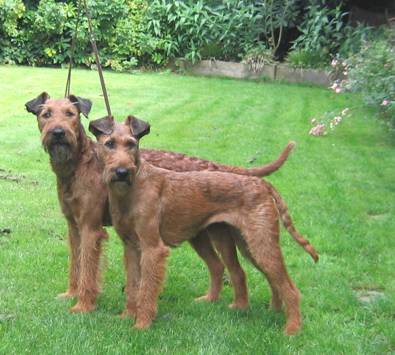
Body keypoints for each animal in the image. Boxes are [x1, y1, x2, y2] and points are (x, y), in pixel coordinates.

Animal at [24, 92, 296, 314]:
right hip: (208, 236)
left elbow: (88, 270)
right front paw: (71, 294)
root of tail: (214, 166)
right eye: (46, 114)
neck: (79, 165)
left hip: (228, 237)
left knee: (244, 271)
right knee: (225, 268)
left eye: (71, 114)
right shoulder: (74, 227)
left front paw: (83, 305)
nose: (58, 133)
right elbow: (75, 265)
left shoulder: (91, 229)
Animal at [89, 115, 318, 336]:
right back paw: (256, 309)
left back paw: (292, 329)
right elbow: (133, 286)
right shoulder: (131, 247)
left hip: (261, 243)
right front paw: (127, 316)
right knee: (255, 276)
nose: (122, 172)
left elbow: (146, 289)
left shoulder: (152, 248)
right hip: (246, 245)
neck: (133, 188)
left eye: (132, 144)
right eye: (109, 143)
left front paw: (141, 325)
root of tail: (262, 184)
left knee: (289, 288)